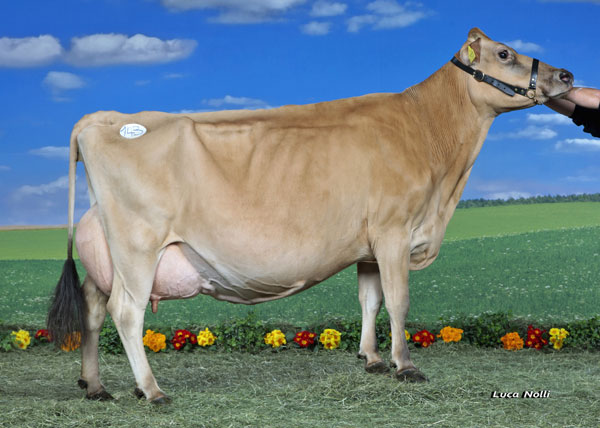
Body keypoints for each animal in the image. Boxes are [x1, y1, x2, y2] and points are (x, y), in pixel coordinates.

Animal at [47, 28, 573, 404]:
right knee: (126, 312)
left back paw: (95, 386)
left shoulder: (368, 245)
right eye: (504, 53)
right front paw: (405, 366)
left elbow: (370, 301)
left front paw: (371, 359)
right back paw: (152, 390)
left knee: (93, 310)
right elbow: (399, 301)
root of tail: (107, 118)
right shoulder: (394, 231)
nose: (566, 75)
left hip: (107, 251)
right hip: (138, 247)